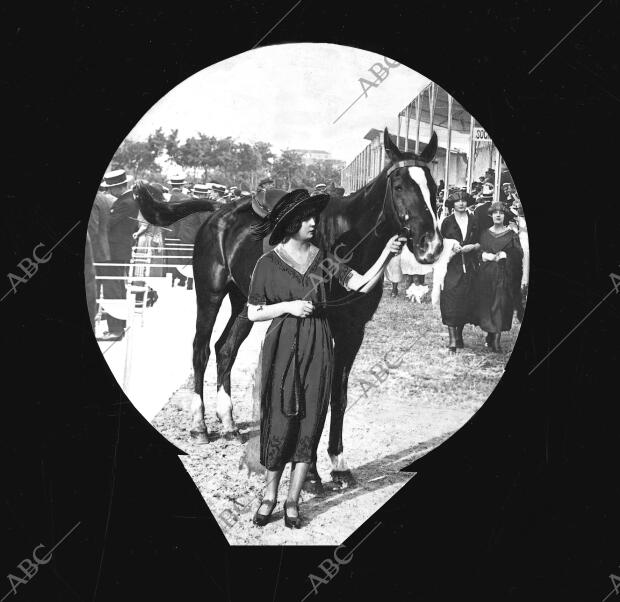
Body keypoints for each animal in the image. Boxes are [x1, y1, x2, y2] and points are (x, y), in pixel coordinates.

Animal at [134, 129, 444, 486]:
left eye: (434, 187)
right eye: (399, 186)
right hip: (210, 294)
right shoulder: (325, 323)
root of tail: (219, 210)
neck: (349, 237)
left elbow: (338, 395)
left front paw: (338, 464)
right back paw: (200, 426)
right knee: (200, 349)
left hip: (245, 303)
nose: (431, 245)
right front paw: (310, 473)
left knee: (225, 348)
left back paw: (228, 421)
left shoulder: (353, 331)